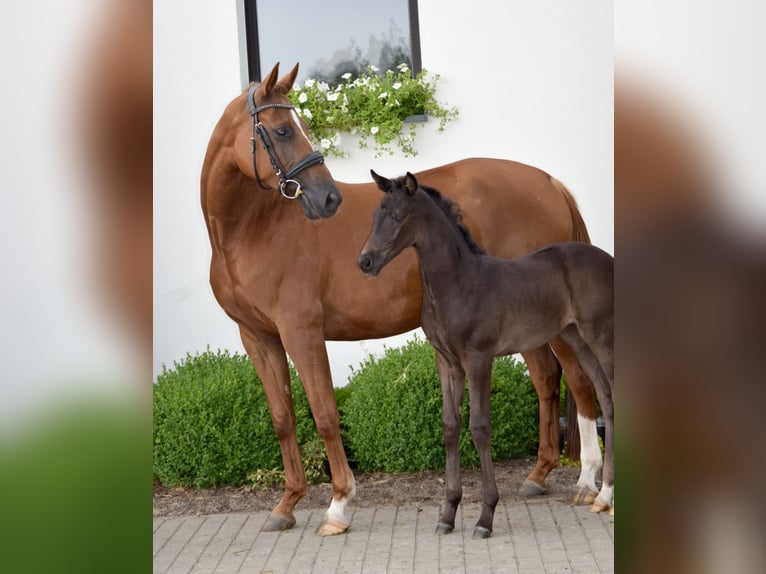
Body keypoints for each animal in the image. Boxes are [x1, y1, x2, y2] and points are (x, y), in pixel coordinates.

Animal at [360, 172, 616, 540]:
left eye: (397, 216)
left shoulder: (478, 358)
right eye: (375, 215)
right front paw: (447, 514)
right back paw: (604, 496)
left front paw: (485, 516)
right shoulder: (446, 361)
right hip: (577, 337)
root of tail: (607, 259)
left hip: (601, 336)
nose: (364, 262)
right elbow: (450, 426)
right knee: (606, 398)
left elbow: (479, 427)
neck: (458, 283)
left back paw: (608, 495)